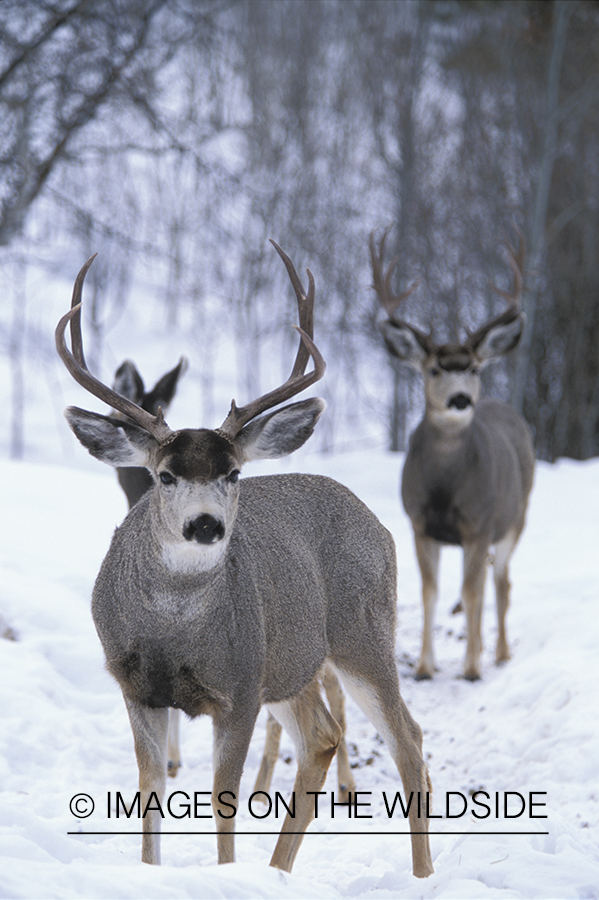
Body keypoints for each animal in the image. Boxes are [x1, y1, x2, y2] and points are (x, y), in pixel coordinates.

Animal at [56, 243, 434, 876]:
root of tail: (378, 523)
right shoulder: (135, 685)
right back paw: (278, 872)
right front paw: (151, 872)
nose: (206, 524)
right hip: (293, 663)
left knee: (408, 739)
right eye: (164, 475)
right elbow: (150, 791)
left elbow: (223, 800)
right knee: (323, 738)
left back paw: (422, 876)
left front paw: (226, 874)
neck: (174, 629)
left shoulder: (240, 686)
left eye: (233, 473)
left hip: (360, 634)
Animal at [372, 230, 536, 684]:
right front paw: (425, 667)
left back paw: (498, 654)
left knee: (499, 583)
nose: (461, 398)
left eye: (475, 369)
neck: (446, 489)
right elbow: (431, 592)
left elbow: (472, 591)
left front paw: (472, 667)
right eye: (434, 370)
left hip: (516, 518)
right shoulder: (420, 524)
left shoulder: (479, 525)